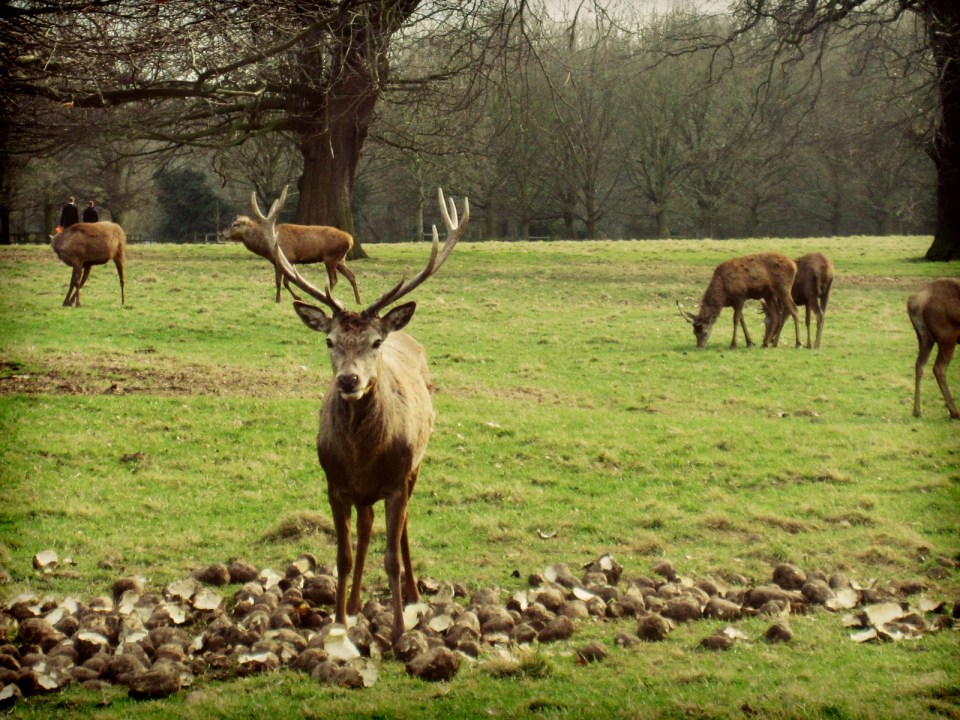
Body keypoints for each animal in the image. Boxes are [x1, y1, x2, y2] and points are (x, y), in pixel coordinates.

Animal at [223, 191, 362, 304]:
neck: (267, 248)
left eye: (235, 224)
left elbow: (285, 282)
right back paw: (358, 301)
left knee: (333, 280)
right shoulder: (276, 262)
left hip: (331, 258)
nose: (223, 233)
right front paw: (277, 299)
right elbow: (278, 281)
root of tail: (350, 239)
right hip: (340, 259)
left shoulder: (288, 258)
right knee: (351, 276)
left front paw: (298, 297)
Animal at [258, 184, 468, 640]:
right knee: (368, 530)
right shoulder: (334, 484)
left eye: (374, 342)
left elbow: (391, 555)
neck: (362, 456)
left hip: (415, 468)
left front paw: (399, 631)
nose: (349, 380)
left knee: (402, 532)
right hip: (365, 495)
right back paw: (354, 605)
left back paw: (413, 597)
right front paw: (338, 623)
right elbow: (344, 555)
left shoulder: (397, 480)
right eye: (329, 341)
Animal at [676, 253, 804, 348]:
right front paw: (750, 342)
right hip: (769, 294)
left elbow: (736, 319)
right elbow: (742, 319)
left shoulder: (740, 296)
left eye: (705, 332)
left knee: (794, 310)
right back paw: (765, 343)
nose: (699, 346)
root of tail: (794, 266)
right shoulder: (734, 302)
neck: (723, 295)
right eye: (694, 332)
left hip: (783, 288)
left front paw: (733, 344)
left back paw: (798, 343)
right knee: (776, 315)